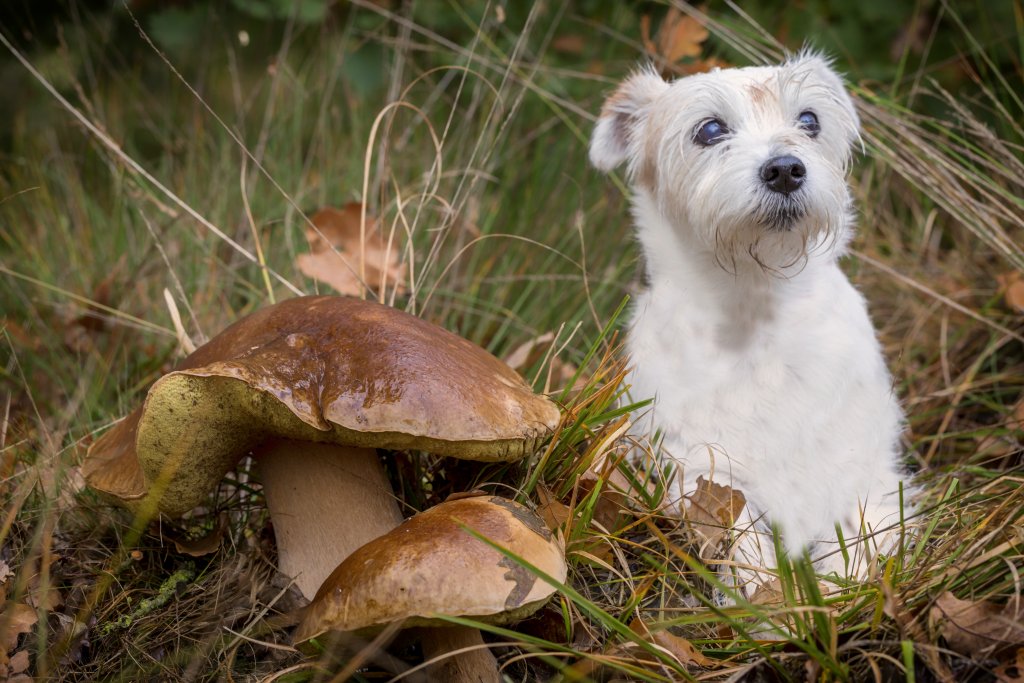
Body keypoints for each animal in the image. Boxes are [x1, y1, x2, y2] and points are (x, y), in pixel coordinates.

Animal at [589, 52, 909, 589]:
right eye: (710, 129)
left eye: (809, 120)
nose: (785, 169)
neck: (759, 313)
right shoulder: (702, 473)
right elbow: (749, 550)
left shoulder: (864, 473)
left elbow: (856, 543)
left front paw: (837, 591)